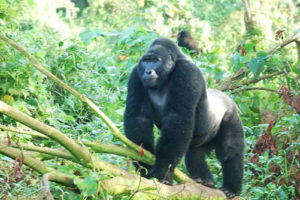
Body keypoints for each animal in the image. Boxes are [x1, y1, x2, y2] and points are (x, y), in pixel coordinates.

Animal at [123, 37, 244, 198]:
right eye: (146, 61)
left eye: (155, 60)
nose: (148, 71)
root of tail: (227, 98)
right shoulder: (136, 73)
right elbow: (139, 117)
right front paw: (144, 165)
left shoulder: (187, 72)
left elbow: (177, 118)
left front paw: (163, 172)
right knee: (194, 151)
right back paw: (204, 180)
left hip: (231, 113)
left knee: (231, 151)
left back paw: (231, 188)